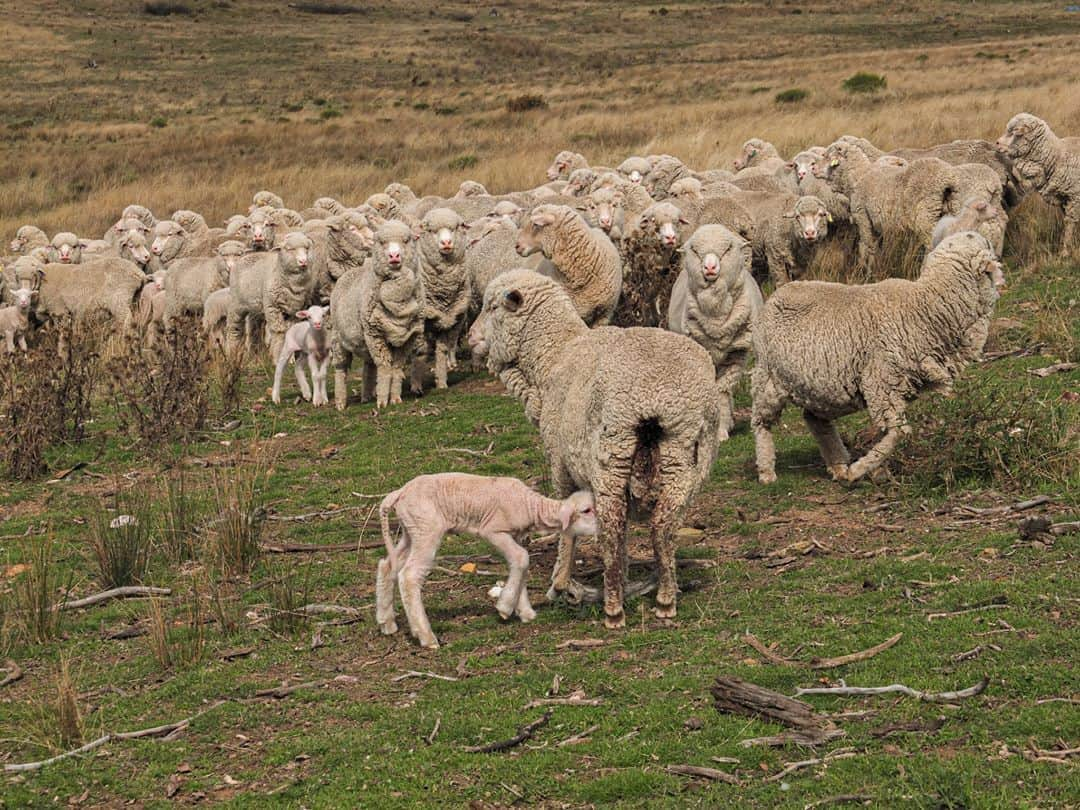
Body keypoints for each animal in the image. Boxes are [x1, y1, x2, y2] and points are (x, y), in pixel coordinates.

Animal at [328, 220, 425, 408]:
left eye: (406, 240)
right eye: (381, 242)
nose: (394, 256)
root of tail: (348, 272)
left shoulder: (407, 338)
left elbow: (397, 367)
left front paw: (394, 397)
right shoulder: (375, 334)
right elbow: (385, 367)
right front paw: (382, 401)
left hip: (365, 342)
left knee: (369, 365)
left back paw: (366, 395)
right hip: (338, 338)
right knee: (340, 369)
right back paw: (341, 401)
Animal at [378, 473, 600, 652]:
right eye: (587, 510)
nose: (603, 525)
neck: (530, 506)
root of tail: (399, 493)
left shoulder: (515, 535)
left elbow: (520, 564)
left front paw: (525, 611)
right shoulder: (493, 530)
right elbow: (522, 558)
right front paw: (505, 607)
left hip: (411, 531)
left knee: (387, 565)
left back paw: (386, 623)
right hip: (427, 529)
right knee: (409, 575)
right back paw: (426, 636)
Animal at [466, 271, 725, 626]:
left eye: (492, 307)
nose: (469, 337)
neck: (554, 357)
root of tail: (655, 398)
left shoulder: (559, 464)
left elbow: (568, 524)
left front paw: (559, 582)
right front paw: (625, 574)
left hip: (612, 452)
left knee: (612, 524)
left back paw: (613, 608)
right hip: (683, 454)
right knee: (664, 524)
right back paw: (665, 599)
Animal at [751, 234, 1002, 488]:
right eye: (986, 244)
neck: (925, 307)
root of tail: (778, 293)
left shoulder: (890, 388)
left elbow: (888, 431)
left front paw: (876, 471)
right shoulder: (881, 381)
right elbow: (899, 433)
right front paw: (861, 469)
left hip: (819, 389)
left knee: (814, 420)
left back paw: (838, 465)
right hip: (767, 377)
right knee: (761, 422)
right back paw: (766, 470)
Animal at [993, 112, 1080, 247]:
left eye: (1014, 132)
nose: (996, 143)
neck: (1056, 158)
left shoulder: (1075, 198)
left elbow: (1070, 224)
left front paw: (1065, 249)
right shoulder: (1064, 200)